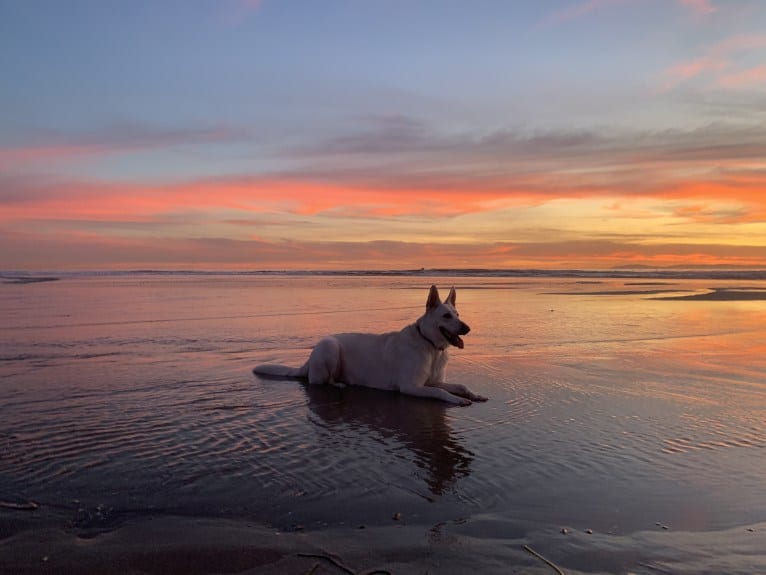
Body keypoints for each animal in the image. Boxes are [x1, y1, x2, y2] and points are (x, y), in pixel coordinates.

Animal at [255, 286, 488, 404]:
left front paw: (473, 394)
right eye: (447, 316)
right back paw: (339, 384)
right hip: (330, 347)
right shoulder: (411, 387)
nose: (467, 328)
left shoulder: (434, 381)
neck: (430, 345)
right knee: (321, 381)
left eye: (458, 314)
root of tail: (307, 361)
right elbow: (440, 392)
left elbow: (460, 386)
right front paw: (456, 400)